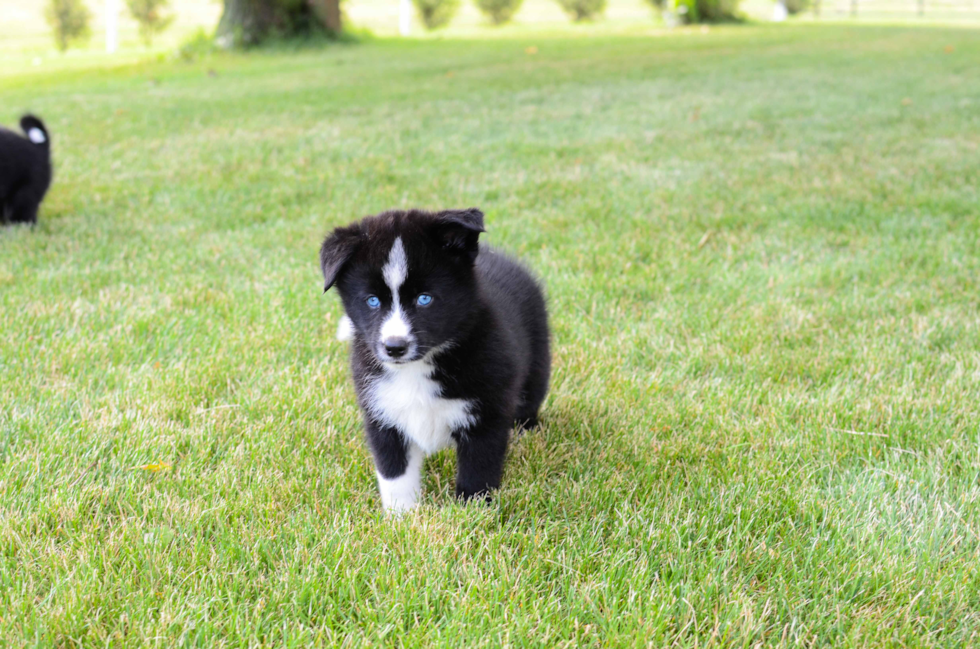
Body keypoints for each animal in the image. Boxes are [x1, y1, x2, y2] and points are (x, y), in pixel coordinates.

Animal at [322, 208, 552, 512]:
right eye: (372, 301)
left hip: (537, 361)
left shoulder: (486, 413)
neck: (418, 368)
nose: (394, 347)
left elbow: (478, 469)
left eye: (424, 299)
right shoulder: (381, 411)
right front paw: (401, 516)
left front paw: (473, 512)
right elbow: (394, 473)